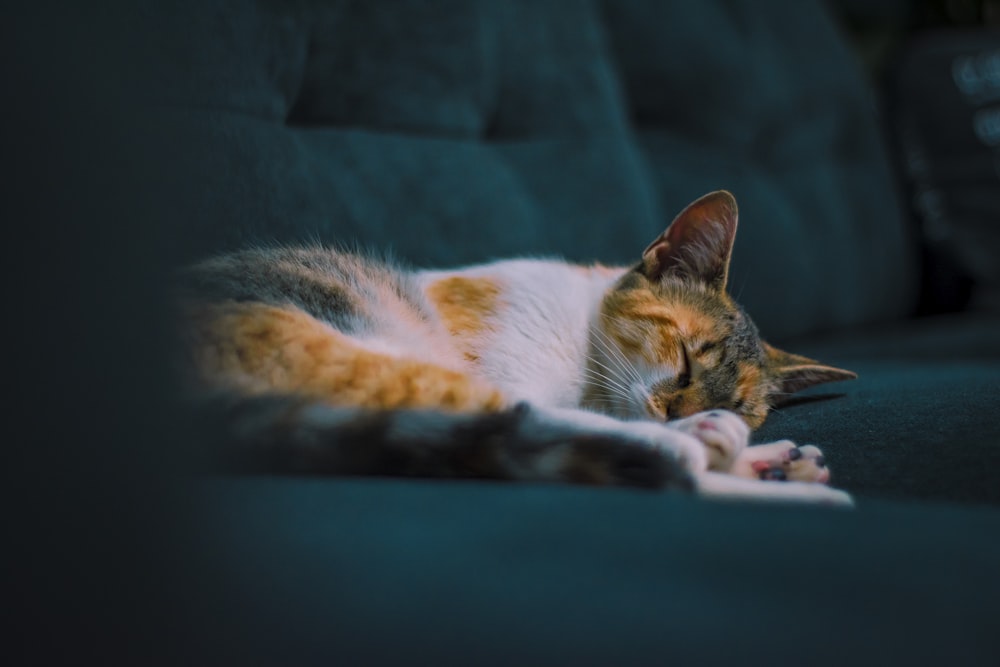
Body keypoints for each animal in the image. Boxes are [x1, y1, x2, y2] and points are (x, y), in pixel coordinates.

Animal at [176, 190, 856, 504]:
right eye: (686, 356)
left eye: (741, 401)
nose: (683, 410)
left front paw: (749, 440)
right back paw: (741, 459)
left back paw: (771, 465)